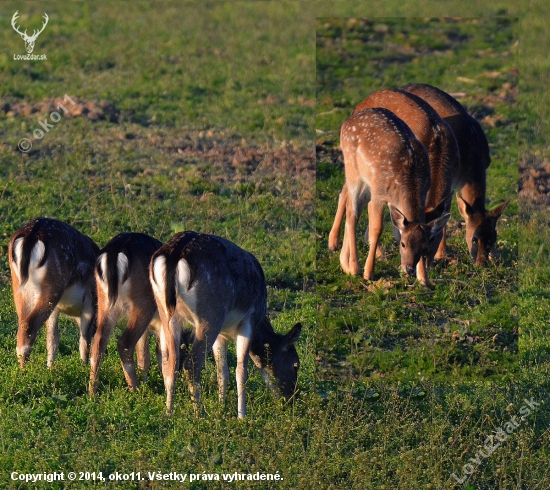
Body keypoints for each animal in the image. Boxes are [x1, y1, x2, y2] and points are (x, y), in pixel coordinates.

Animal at [7, 218, 100, 368]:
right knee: (28, 326)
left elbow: (52, 340)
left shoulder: (56, 309)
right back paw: (24, 370)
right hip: (52, 287)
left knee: (22, 324)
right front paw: (83, 367)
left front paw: (50, 368)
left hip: (20, 287)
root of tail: (31, 235)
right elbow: (84, 340)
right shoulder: (90, 301)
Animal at [89, 233, 164, 394]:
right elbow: (162, 352)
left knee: (98, 341)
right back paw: (135, 389)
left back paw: (92, 391)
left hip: (104, 303)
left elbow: (144, 354)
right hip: (143, 304)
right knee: (125, 343)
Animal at [150, 231, 302, 418]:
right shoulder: (248, 322)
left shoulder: (221, 335)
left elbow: (222, 370)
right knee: (191, 364)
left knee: (170, 362)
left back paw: (168, 412)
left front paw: (221, 407)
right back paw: (200, 414)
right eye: (296, 365)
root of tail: (175, 253)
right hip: (210, 315)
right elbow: (241, 370)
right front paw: (241, 416)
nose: (291, 398)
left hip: (166, 313)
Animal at [330, 88, 460, 284]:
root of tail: (348, 119)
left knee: (351, 203)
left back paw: (344, 262)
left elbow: (398, 227)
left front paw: (423, 279)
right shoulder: (378, 193)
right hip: (353, 170)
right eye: (404, 244)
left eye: (427, 243)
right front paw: (369, 273)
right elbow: (377, 229)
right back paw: (352, 266)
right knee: (351, 209)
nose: (409, 269)